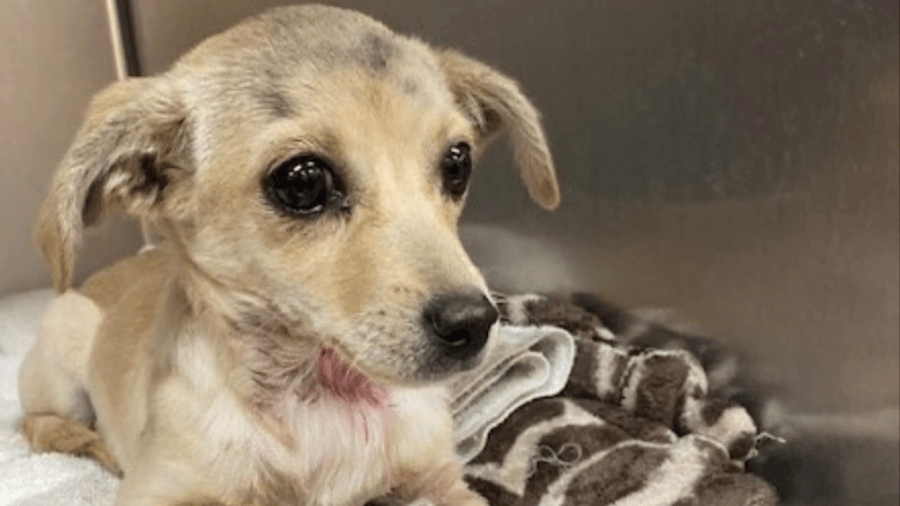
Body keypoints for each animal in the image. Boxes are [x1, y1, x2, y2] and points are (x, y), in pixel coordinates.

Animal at [17, 4, 560, 506]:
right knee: (35, 422)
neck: (321, 393)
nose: (473, 324)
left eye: (457, 163)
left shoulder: (440, 479)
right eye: (303, 181)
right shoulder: (156, 491)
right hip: (63, 356)